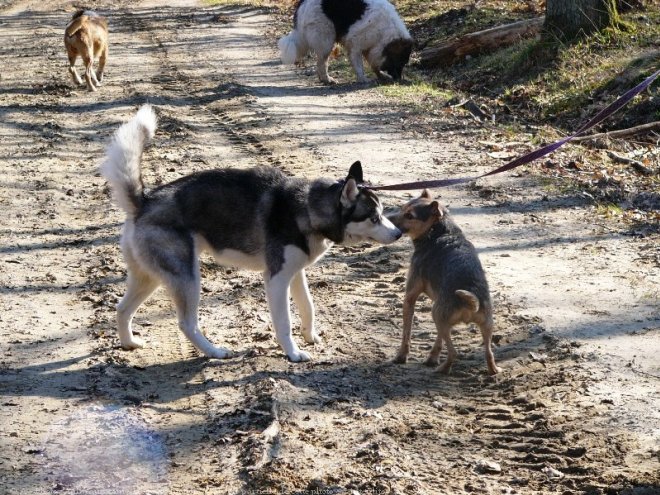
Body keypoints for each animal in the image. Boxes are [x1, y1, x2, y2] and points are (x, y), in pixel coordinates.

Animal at [100, 105, 400, 364]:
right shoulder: (276, 279)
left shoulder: (295, 273)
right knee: (186, 324)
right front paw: (293, 352)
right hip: (187, 278)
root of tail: (145, 200)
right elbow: (284, 322)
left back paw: (129, 343)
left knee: (121, 309)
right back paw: (215, 351)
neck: (308, 208)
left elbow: (308, 306)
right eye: (373, 218)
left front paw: (310, 336)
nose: (398, 233)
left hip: (148, 277)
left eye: (382, 212)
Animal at [278, 0, 412, 84]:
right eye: (399, 62)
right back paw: (327, 79)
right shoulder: (355, 45)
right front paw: (363, 79)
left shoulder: (370, 48)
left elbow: (373, 64)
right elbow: (359, 66)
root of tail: (302, 3)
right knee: (322, 63)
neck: (385, 31)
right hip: (326, 41)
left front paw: (381, 75)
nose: (398, 79)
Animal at [386, 191, 500, 376]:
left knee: (454, 353)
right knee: (488, 353)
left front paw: (401, 357)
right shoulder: (437, 302)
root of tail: (471, 300)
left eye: (409, 215)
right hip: (483, 323)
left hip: (437, 315)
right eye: (402, 208)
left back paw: (443, 369)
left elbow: (406, 334)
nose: (386, 218)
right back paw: (493, 371)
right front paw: (432, 357)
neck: (438, 232)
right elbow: (438, 341)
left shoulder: (410, 297)